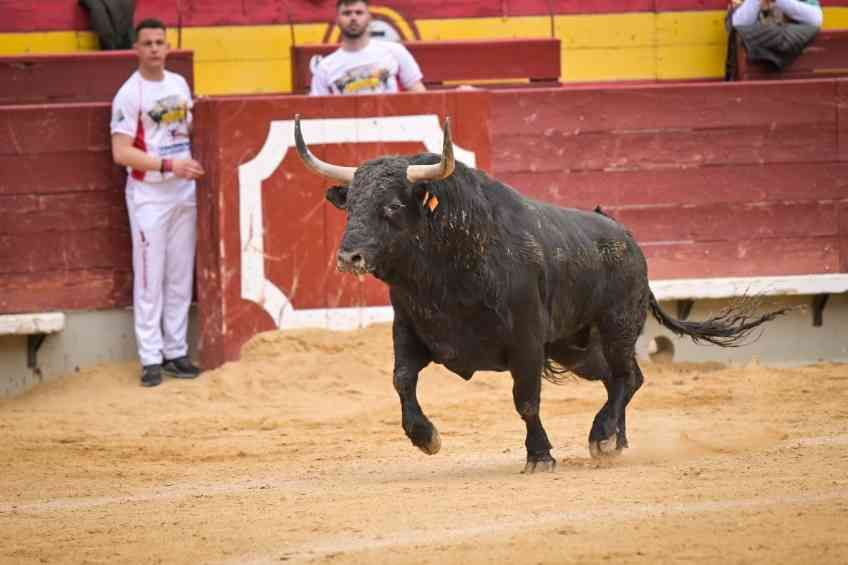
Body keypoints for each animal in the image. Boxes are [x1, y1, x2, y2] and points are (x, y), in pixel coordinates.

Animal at [294, 114, 788, 472]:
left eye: (393, 206)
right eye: (351, 207)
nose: (350, 256)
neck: (450, 265)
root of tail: (627, 237)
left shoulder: (527, 343)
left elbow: (527, 400)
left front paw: (540, 455)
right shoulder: (410, 330)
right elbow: (401, 380)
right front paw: (425, 437)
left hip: (616, 327)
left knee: (627, 377)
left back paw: (602, 436)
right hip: (576, 348)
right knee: (620, 379)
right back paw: (616, 439)